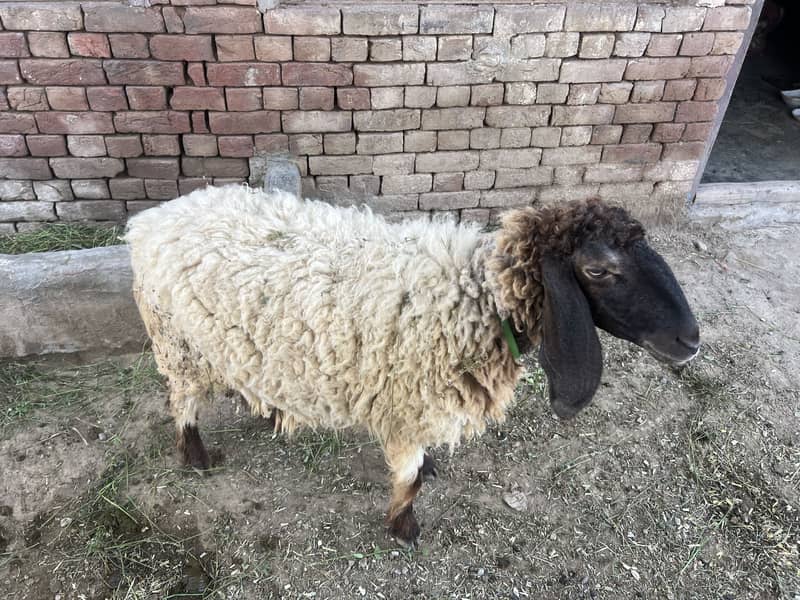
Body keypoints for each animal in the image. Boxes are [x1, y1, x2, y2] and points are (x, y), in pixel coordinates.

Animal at [124, 184, 699, 546]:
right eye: (598, 270)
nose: (690, 340)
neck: (476, 295)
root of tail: (149, 219)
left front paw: (429, 470)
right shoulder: (405, 406)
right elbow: (408, 479)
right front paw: (404, 527)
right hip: (177, 342)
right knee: (182, 400)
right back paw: (196, 455)